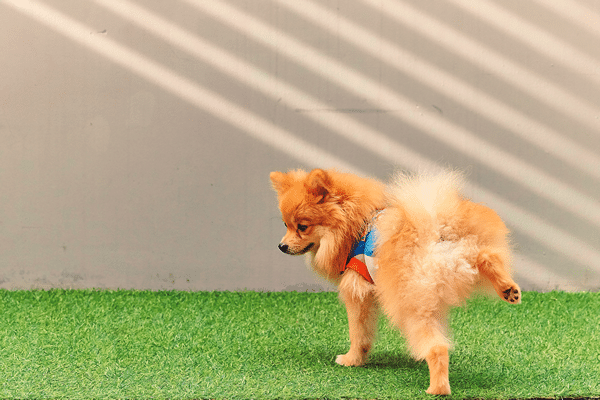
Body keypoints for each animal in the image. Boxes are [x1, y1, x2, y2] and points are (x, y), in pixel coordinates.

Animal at [270, 168, 520, 394]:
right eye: (285, 225)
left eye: (302, 227)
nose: (281, 246)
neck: (355, 226)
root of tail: (436, 228)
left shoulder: (357, 291)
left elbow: (358, 333)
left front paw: (352, 359)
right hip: (462, 262)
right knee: (486, 256)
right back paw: (508, 289)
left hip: (410, 302)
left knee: (438, 348)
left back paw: (437, 389)